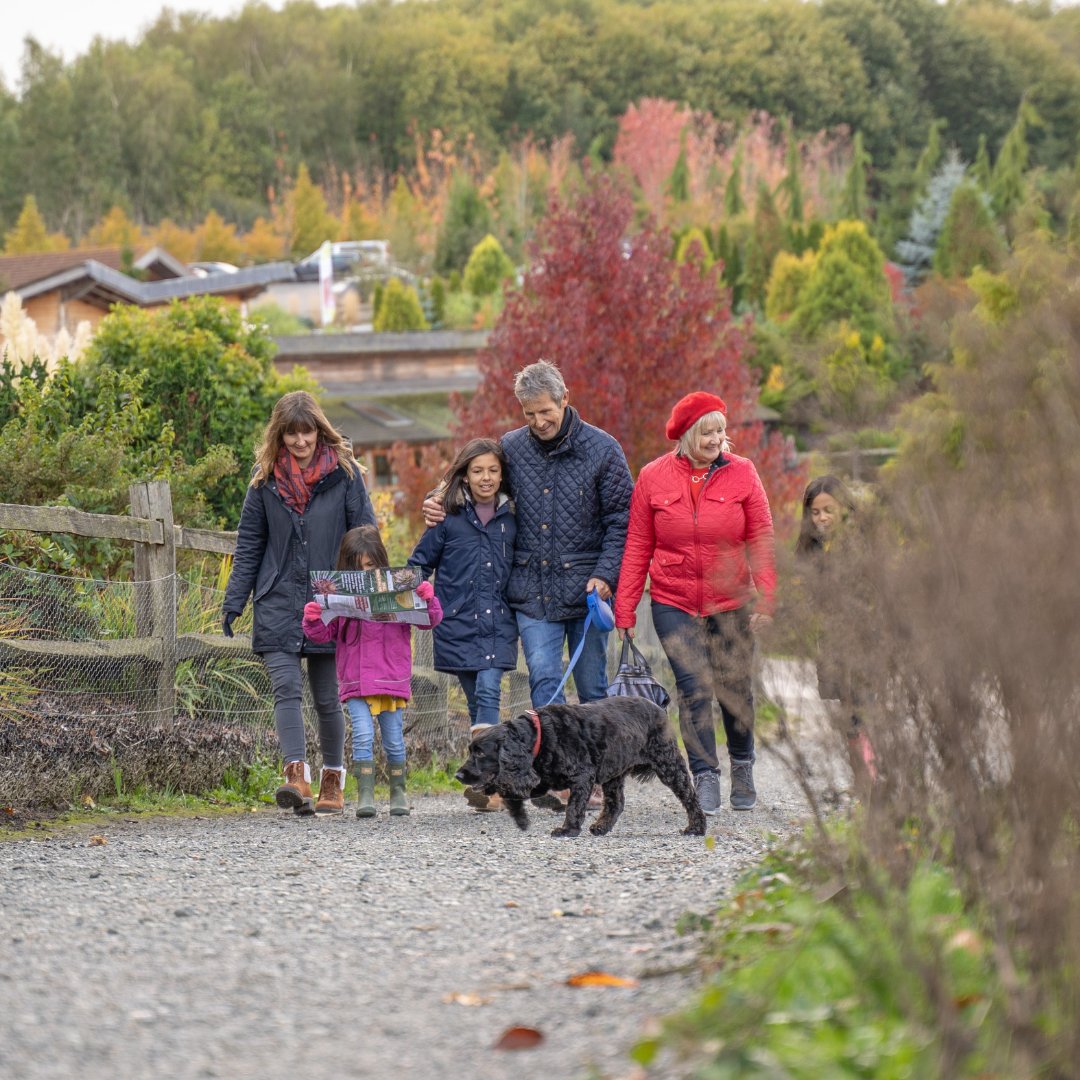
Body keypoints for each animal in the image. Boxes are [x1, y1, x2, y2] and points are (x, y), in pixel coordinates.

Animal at [455, 695, 708, 838]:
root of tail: (659, 707)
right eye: (470, 750)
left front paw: (568, 830)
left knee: (689, 796)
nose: (458, 775)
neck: (539, 736)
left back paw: (696, 828)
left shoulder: (582, 776)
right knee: (615, 803)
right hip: (614, 773)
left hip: (668, 763)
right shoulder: (539, 779)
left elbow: (574, 806)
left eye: (480, 752)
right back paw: (601, 827)